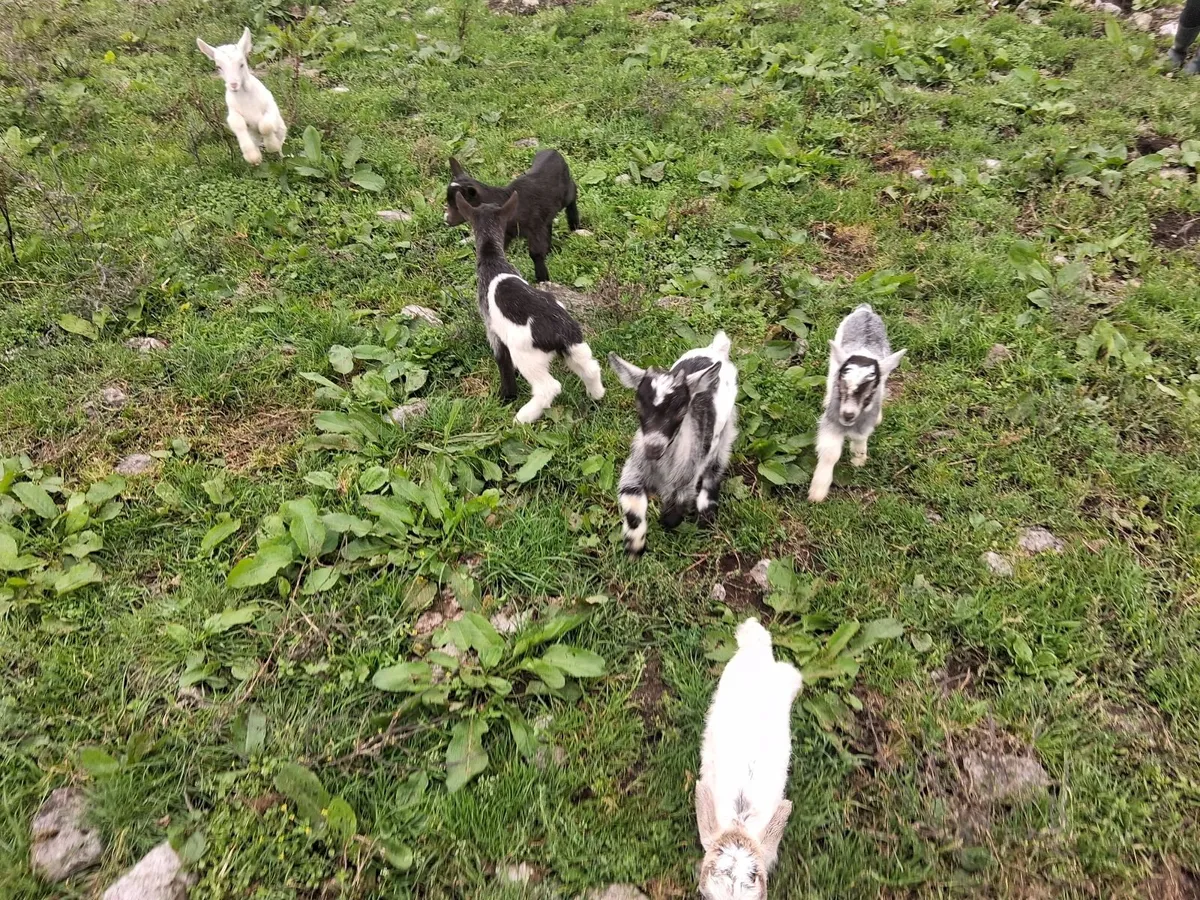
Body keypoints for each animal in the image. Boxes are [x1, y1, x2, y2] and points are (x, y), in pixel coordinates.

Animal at [196, 28, 287, 166]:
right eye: (218, 67)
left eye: (242, 64)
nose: (233, 85)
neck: (246, 98)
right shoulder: (233, 113)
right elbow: (238, 124)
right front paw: (253, 157)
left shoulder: (270, 108)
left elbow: (265, 125)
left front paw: (272, 146)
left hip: (281, 129)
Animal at [444, 150, 580, 283]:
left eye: (458, 206)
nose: (447, 220)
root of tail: (553, 151)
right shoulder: (506, 233)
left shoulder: (534, 228)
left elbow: (535, 253)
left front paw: (542, 278)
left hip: (564, 194)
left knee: (573, 191)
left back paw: (574, 224)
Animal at [455, 191, 604, 424]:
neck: (492, 259)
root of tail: (560, 331)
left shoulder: (493, 330)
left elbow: (503, 362)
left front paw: (506, 396)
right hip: (576, 346)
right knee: (591, 368)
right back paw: (596, 395)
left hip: (528, 356)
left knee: (549, 387)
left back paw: (522, 418)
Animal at [608, 331, 737, 556]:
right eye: (639, 407)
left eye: (680, 411)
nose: (653, 448)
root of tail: (716, 350)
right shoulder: (634, 470)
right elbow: (632, 503)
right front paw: (634, 545)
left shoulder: (686, 480)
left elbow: (671, 518)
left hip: (726, 429)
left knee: (716, 464)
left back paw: (707, 511)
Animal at [807, 303, 906, 503]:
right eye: (841, 387)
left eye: (869, 395)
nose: (847, 415)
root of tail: (865, 310)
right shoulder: (832, 422)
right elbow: (830, 453)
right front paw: (817, 492)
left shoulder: (865, 419)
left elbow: (860, 437)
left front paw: (858, 459)